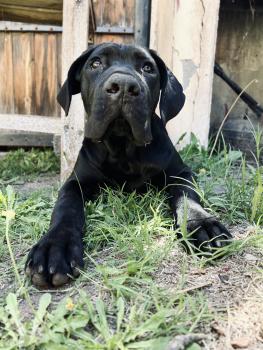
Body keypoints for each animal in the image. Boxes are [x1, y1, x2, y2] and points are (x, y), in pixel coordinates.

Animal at [25, 42, 233, 288]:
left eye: (147, 68)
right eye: (95, 63)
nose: (124, 86)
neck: (123, 148)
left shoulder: (179, 173)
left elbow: (187, 196)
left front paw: (201, 224)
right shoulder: (76, 182)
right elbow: (66, 207)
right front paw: (55, 246)